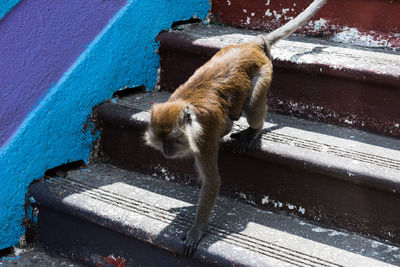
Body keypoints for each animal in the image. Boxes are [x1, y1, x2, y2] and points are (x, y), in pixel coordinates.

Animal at [144, 0, 324, 258]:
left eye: (172, 141)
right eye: (161, 140)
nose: (166, 151)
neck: (187, 109)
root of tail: (251, 44)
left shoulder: (204, 139)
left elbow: (212, 181)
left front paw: (197, 230)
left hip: (264, 72)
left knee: (253, 105)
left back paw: (254, 129)